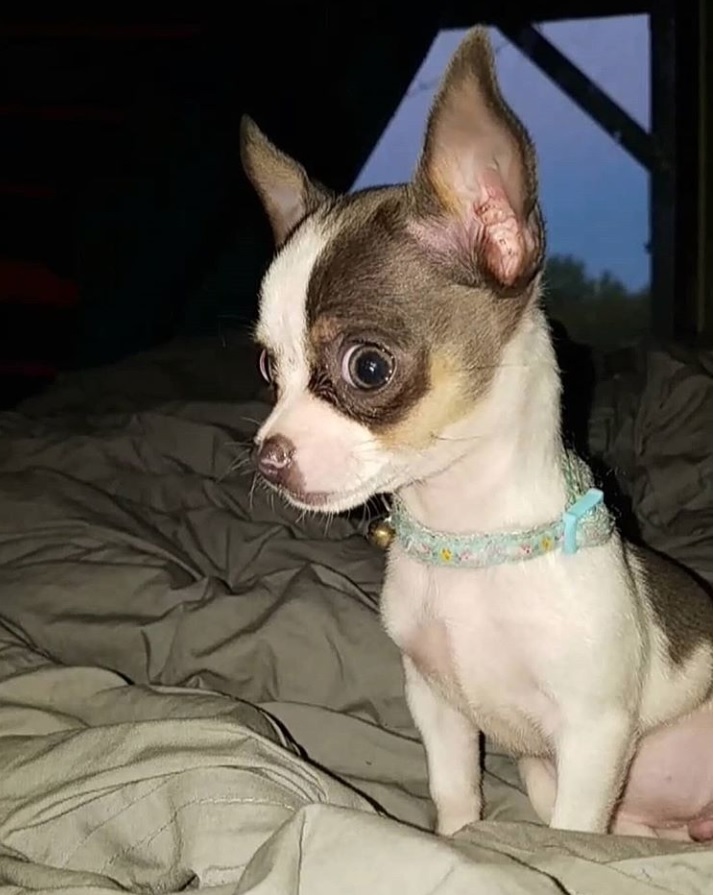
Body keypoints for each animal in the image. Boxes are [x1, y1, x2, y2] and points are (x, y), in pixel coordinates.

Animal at [243, 28, 712, 840]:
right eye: (270, 367)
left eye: (368, 367)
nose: (269, 456)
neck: (468, 541)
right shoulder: (438, 706)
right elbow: (455, 792)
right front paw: (459, 841)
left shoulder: (592, 734)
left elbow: (573, 841)